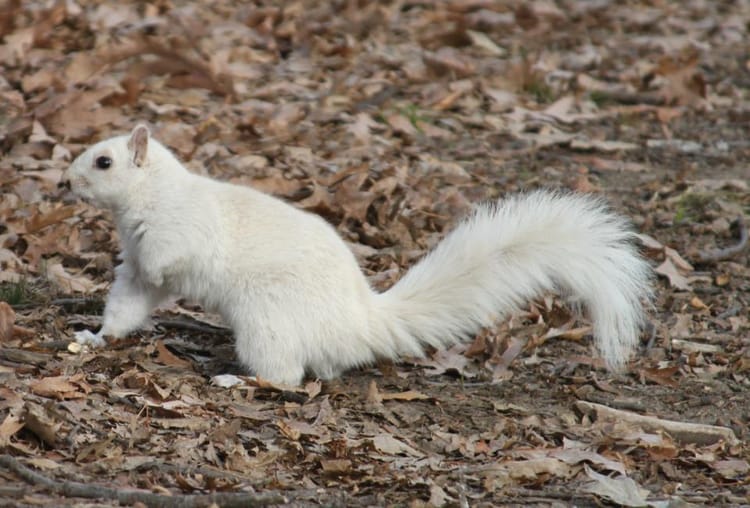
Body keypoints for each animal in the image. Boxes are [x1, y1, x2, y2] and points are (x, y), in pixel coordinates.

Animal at [63, 126, 652, 384]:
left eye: (103, 161)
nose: (64, 182)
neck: (152, 196)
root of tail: (357, 323)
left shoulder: (184, 230)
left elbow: (173, 258)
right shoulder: (137, 273)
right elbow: (128, 302)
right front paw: (94, 338)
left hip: (267, 320)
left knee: (285, 376)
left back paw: (238, 380)